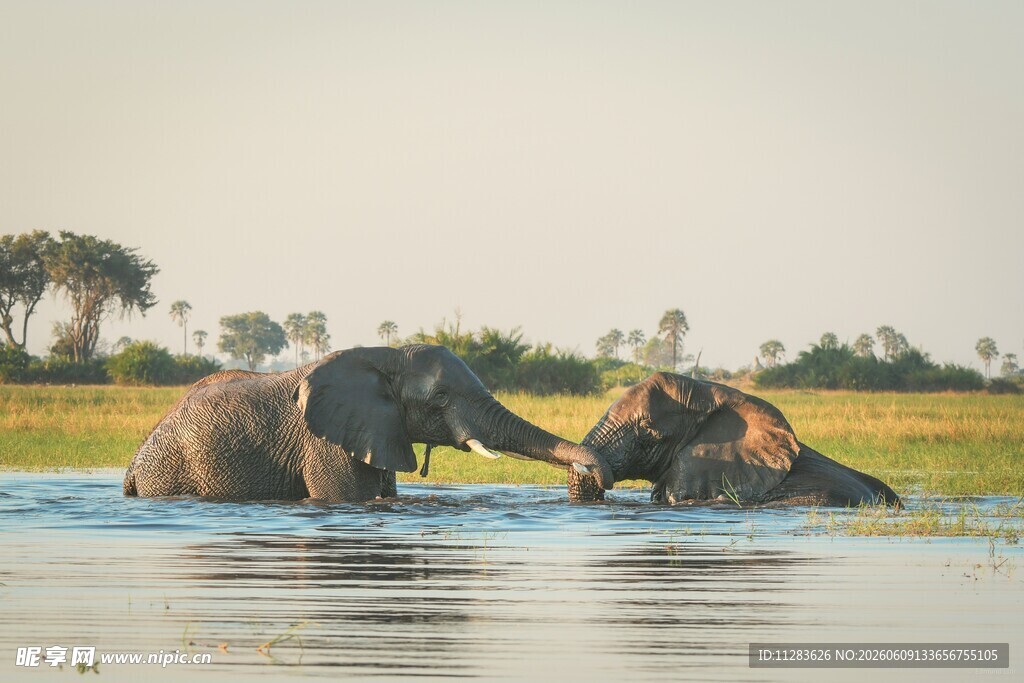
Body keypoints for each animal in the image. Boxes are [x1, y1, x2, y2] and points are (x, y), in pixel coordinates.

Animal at [124, 344, 613, 502]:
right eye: (440, 398)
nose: (595, 475)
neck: (388, 357)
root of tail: (133, 464)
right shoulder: (326, 441)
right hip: (172, 471)